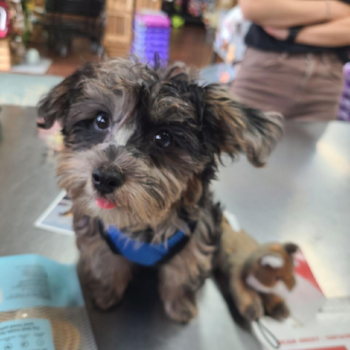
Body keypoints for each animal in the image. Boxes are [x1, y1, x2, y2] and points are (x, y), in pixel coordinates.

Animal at [38, 58, 284, 322]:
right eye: (101, 121)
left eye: (163, 138)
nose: (104, 178)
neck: (142, 223)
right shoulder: (98, 234)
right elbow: (107, 264)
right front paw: (106, 293)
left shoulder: (196, 236)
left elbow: (182, 272)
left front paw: (180, 305)